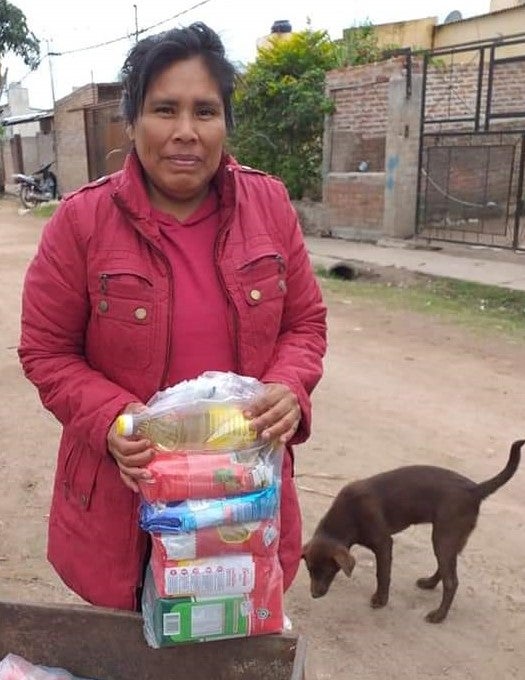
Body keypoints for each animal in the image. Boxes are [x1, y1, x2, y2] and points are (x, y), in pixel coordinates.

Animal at [300, 440, 520, 620]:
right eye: (310, 569)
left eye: (328, 570)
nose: (314, 595)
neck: (347, 516)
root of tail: (474, 489)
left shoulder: (384, 544)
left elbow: (382, 574)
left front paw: (381, 600)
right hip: (452, 537)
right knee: (446, 569)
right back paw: (430, 584)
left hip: (444, 536)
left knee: (452, 581)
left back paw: (438, 616)